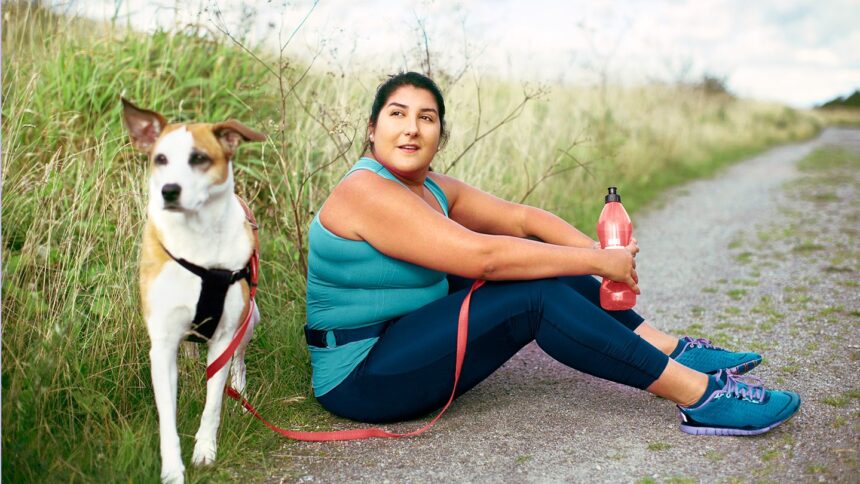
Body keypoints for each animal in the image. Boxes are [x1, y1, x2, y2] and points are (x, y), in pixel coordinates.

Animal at [122, 98, 265, 483]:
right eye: (160, 158)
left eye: (199, 158)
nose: (169, 190)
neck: (197, 238)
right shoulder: (162, 343)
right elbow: (167, 418)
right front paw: (172, 469)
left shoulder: (224, 337)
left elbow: (213, 404)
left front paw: (205, 452)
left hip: (250, 318)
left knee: (239, 362)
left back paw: (241, 395)